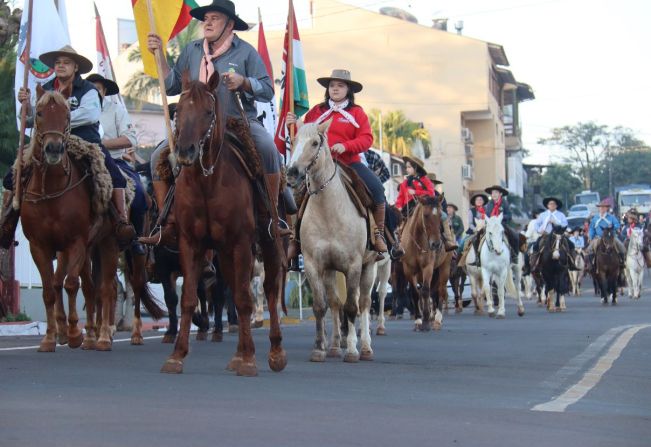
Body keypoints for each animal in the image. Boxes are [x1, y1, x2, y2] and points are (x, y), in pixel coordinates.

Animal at [19, 86, 117, 352]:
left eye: (67, 115)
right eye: (39, 113)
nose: (53, 150)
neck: (52, 191)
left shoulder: (76, 242)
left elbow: (72, 285)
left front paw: (74, 333)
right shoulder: (39, 246)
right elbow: (49, 290)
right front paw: (50, 338)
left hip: (107, 244)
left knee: (104, 288)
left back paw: (100, 337)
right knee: (86, 286)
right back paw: (87, 335)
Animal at [159, 73, 286, 378]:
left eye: (208, 112)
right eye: (178, 111)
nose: (185, 151)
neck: (207, 181)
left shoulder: (241, 243)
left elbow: (244, 298)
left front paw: (251, 360)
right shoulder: (190, 243)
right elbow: (189, 297)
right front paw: (177, 355)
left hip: (267, 243)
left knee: (269, 290)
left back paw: (275, 352)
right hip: (225, 254)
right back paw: (238, 353)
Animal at [286, 120, 376, 364]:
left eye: (315, 142)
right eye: (293, 140)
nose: (292, 172)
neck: (329, 210)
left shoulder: (353, 266)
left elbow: (352, 307)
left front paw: (353, 350)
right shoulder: (313, 265)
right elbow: (321, 306)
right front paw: (319, 349)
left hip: (370, 266)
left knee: (364, 303)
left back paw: (366, 348)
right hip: (330, 271)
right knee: (335, 303)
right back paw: (335, 346)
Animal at [400, 194, 450, 330]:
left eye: (440, 215)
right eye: (426, 215)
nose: (436, 244)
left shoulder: (428, 267)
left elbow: (426, 291)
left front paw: (426, 321)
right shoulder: (408, 269)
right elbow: (415, 293)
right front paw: (418, 320)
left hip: (444, 267)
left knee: (441, 290)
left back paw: (437, 319)